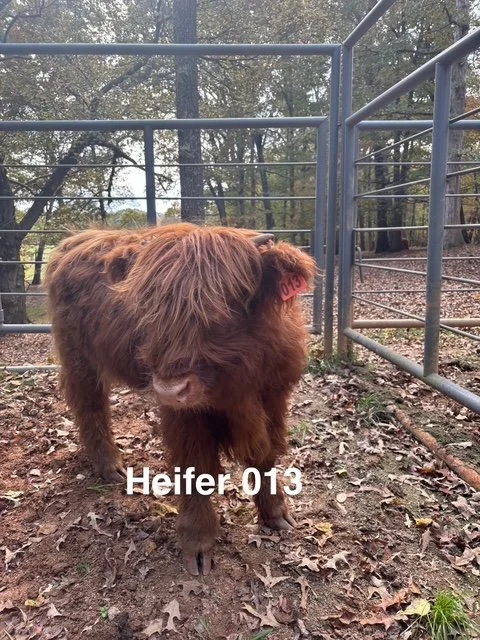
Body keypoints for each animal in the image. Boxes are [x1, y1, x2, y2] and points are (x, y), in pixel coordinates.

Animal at [46, 223, 317, 575]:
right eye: (146, 309)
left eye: (225, 303)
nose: (168, 389)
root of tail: (75, 240)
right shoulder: (185, 415)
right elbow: (195, 467)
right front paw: (198, 542)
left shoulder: (273, 397)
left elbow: (265, 456)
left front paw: (275, 513)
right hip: (79, 359)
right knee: (90, 405)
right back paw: (109, 465)